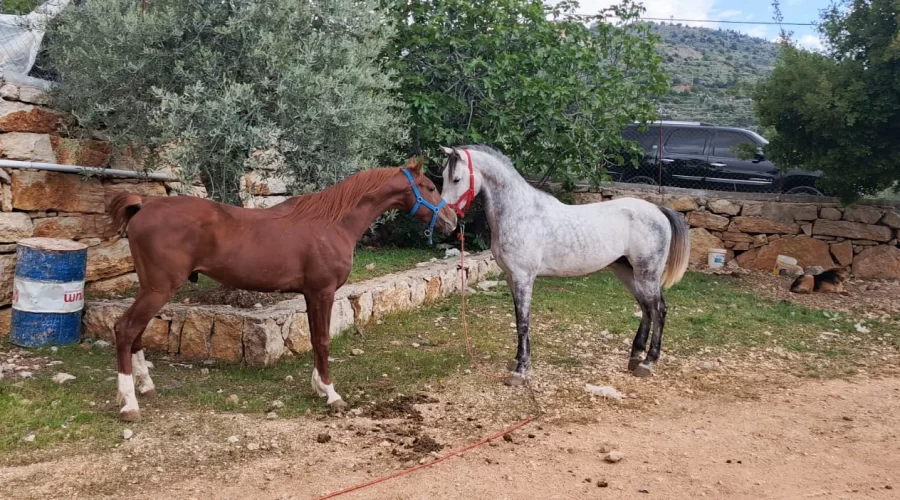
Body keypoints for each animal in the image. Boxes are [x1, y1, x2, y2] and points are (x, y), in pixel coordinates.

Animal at [105, 158, 456, 421]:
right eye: (429, 187)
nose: (452, 220)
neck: (332, 223)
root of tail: (145, 204)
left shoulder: (311, 294)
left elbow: (315, 340)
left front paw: (319, 387)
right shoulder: (323, 292)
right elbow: (323, 341)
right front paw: (332, 394)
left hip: (152, 289)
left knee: (136, 334)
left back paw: (146, 388)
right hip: (158, 289)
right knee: (125, 329)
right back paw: (129, 405)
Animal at [438, 145, 689, 384]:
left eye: (456, 179)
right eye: (442, 176)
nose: (446, 219)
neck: (519, 212)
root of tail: (658, 210)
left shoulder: (523, 277)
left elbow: (523, 322)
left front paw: (520, 372)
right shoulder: (511, 277)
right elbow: (519, 319)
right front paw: (519, 361)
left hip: (647, 274)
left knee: (658, 310)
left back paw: (648, 363)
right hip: (627, 272)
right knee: (646, 309)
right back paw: (635, 357)